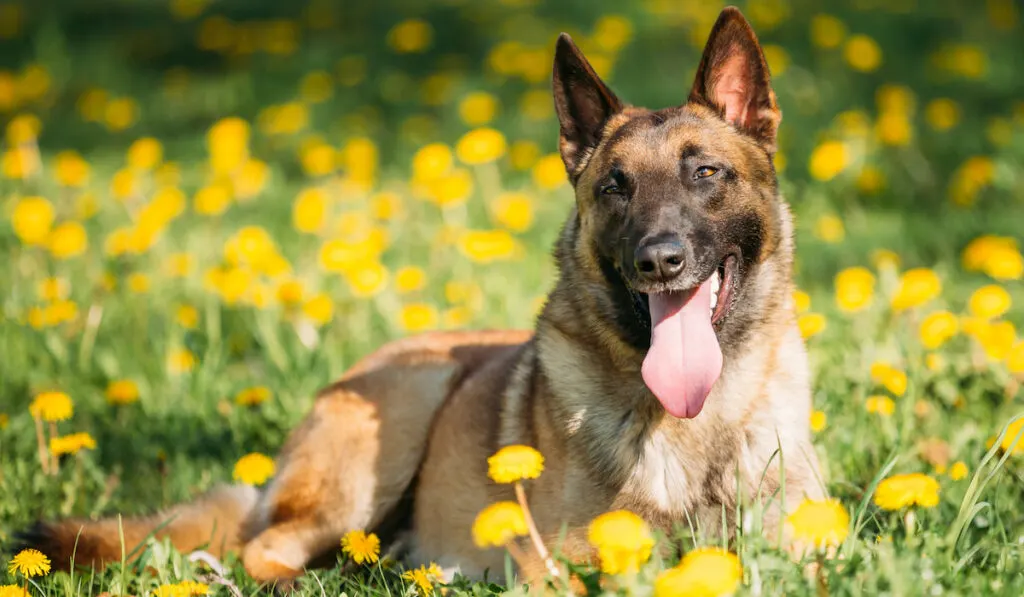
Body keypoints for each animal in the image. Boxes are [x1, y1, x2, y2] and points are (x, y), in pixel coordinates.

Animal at [22, 5, 823, 589]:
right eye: (615, 187)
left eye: (706, 172)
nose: (659, 260)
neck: (699, 421)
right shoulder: (554, 568)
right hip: (402, 412)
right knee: (264, 549)